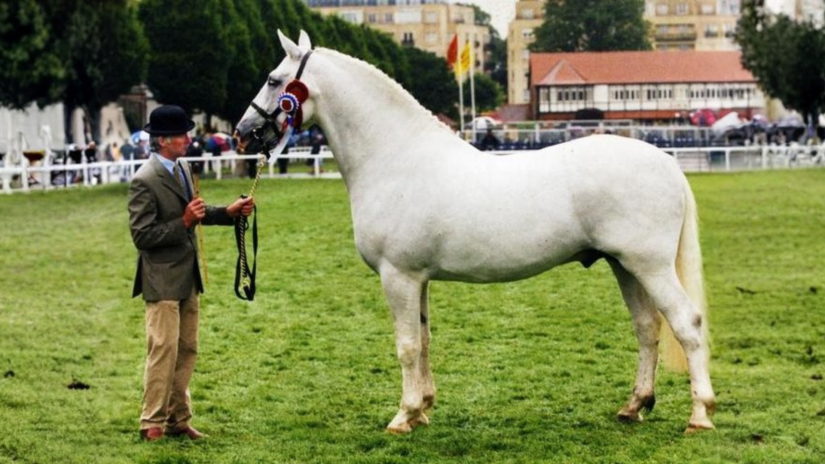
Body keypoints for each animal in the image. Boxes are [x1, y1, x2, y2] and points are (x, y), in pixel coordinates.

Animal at [234, 30, 715, 434]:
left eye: (275, 80)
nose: (241, 134)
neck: (396, 159)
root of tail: (668, 163)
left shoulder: (398, 276)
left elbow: (406, 345)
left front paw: (403, 416)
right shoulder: (417, 279)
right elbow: (424, 341)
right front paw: (423, 409)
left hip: (649, 266)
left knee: (686, 324)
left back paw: (699, 415)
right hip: (624, 265)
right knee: (647, 328)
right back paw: (634, 406)